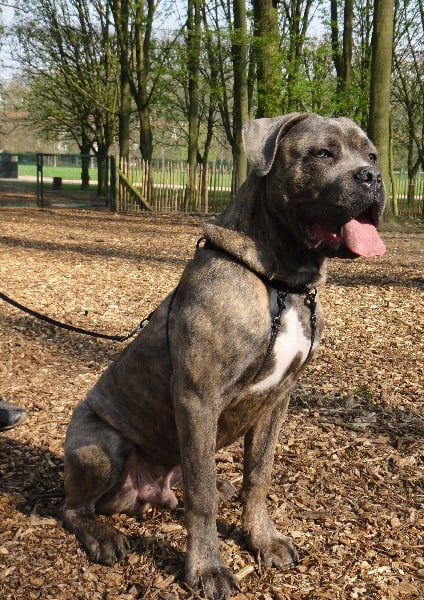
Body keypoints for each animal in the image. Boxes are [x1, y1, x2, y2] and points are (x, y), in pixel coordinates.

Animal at [63, 113, 386, 599]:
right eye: (321, 153)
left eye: (371, 155)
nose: (372, 177)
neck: (280, 281)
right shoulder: (198, 398)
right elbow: (201, 499)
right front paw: (207, 568)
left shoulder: (277, 399)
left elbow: (259, 475)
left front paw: (261, 539)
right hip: (100, 445)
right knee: (74, 508)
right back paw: (103, 536)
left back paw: (221, 485)